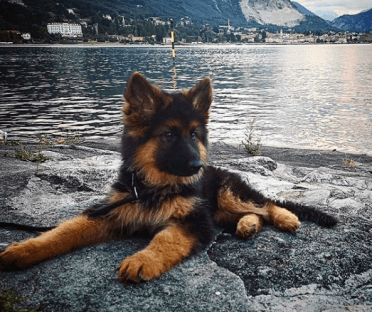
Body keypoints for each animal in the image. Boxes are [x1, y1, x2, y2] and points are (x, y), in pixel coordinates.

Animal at [0, 72, 338, 282]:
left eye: (194, 135)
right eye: (168, 135)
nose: (197, 165)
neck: (153, 187)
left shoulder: (195, 221)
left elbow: (167, 237)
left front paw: (143, 260)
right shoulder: (112, 212)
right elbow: (66, 230)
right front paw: (24, 250)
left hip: (227, 193)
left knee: (265, 205)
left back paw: (284, 218)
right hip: (220, 208)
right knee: (254, 213)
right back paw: (248, 226)